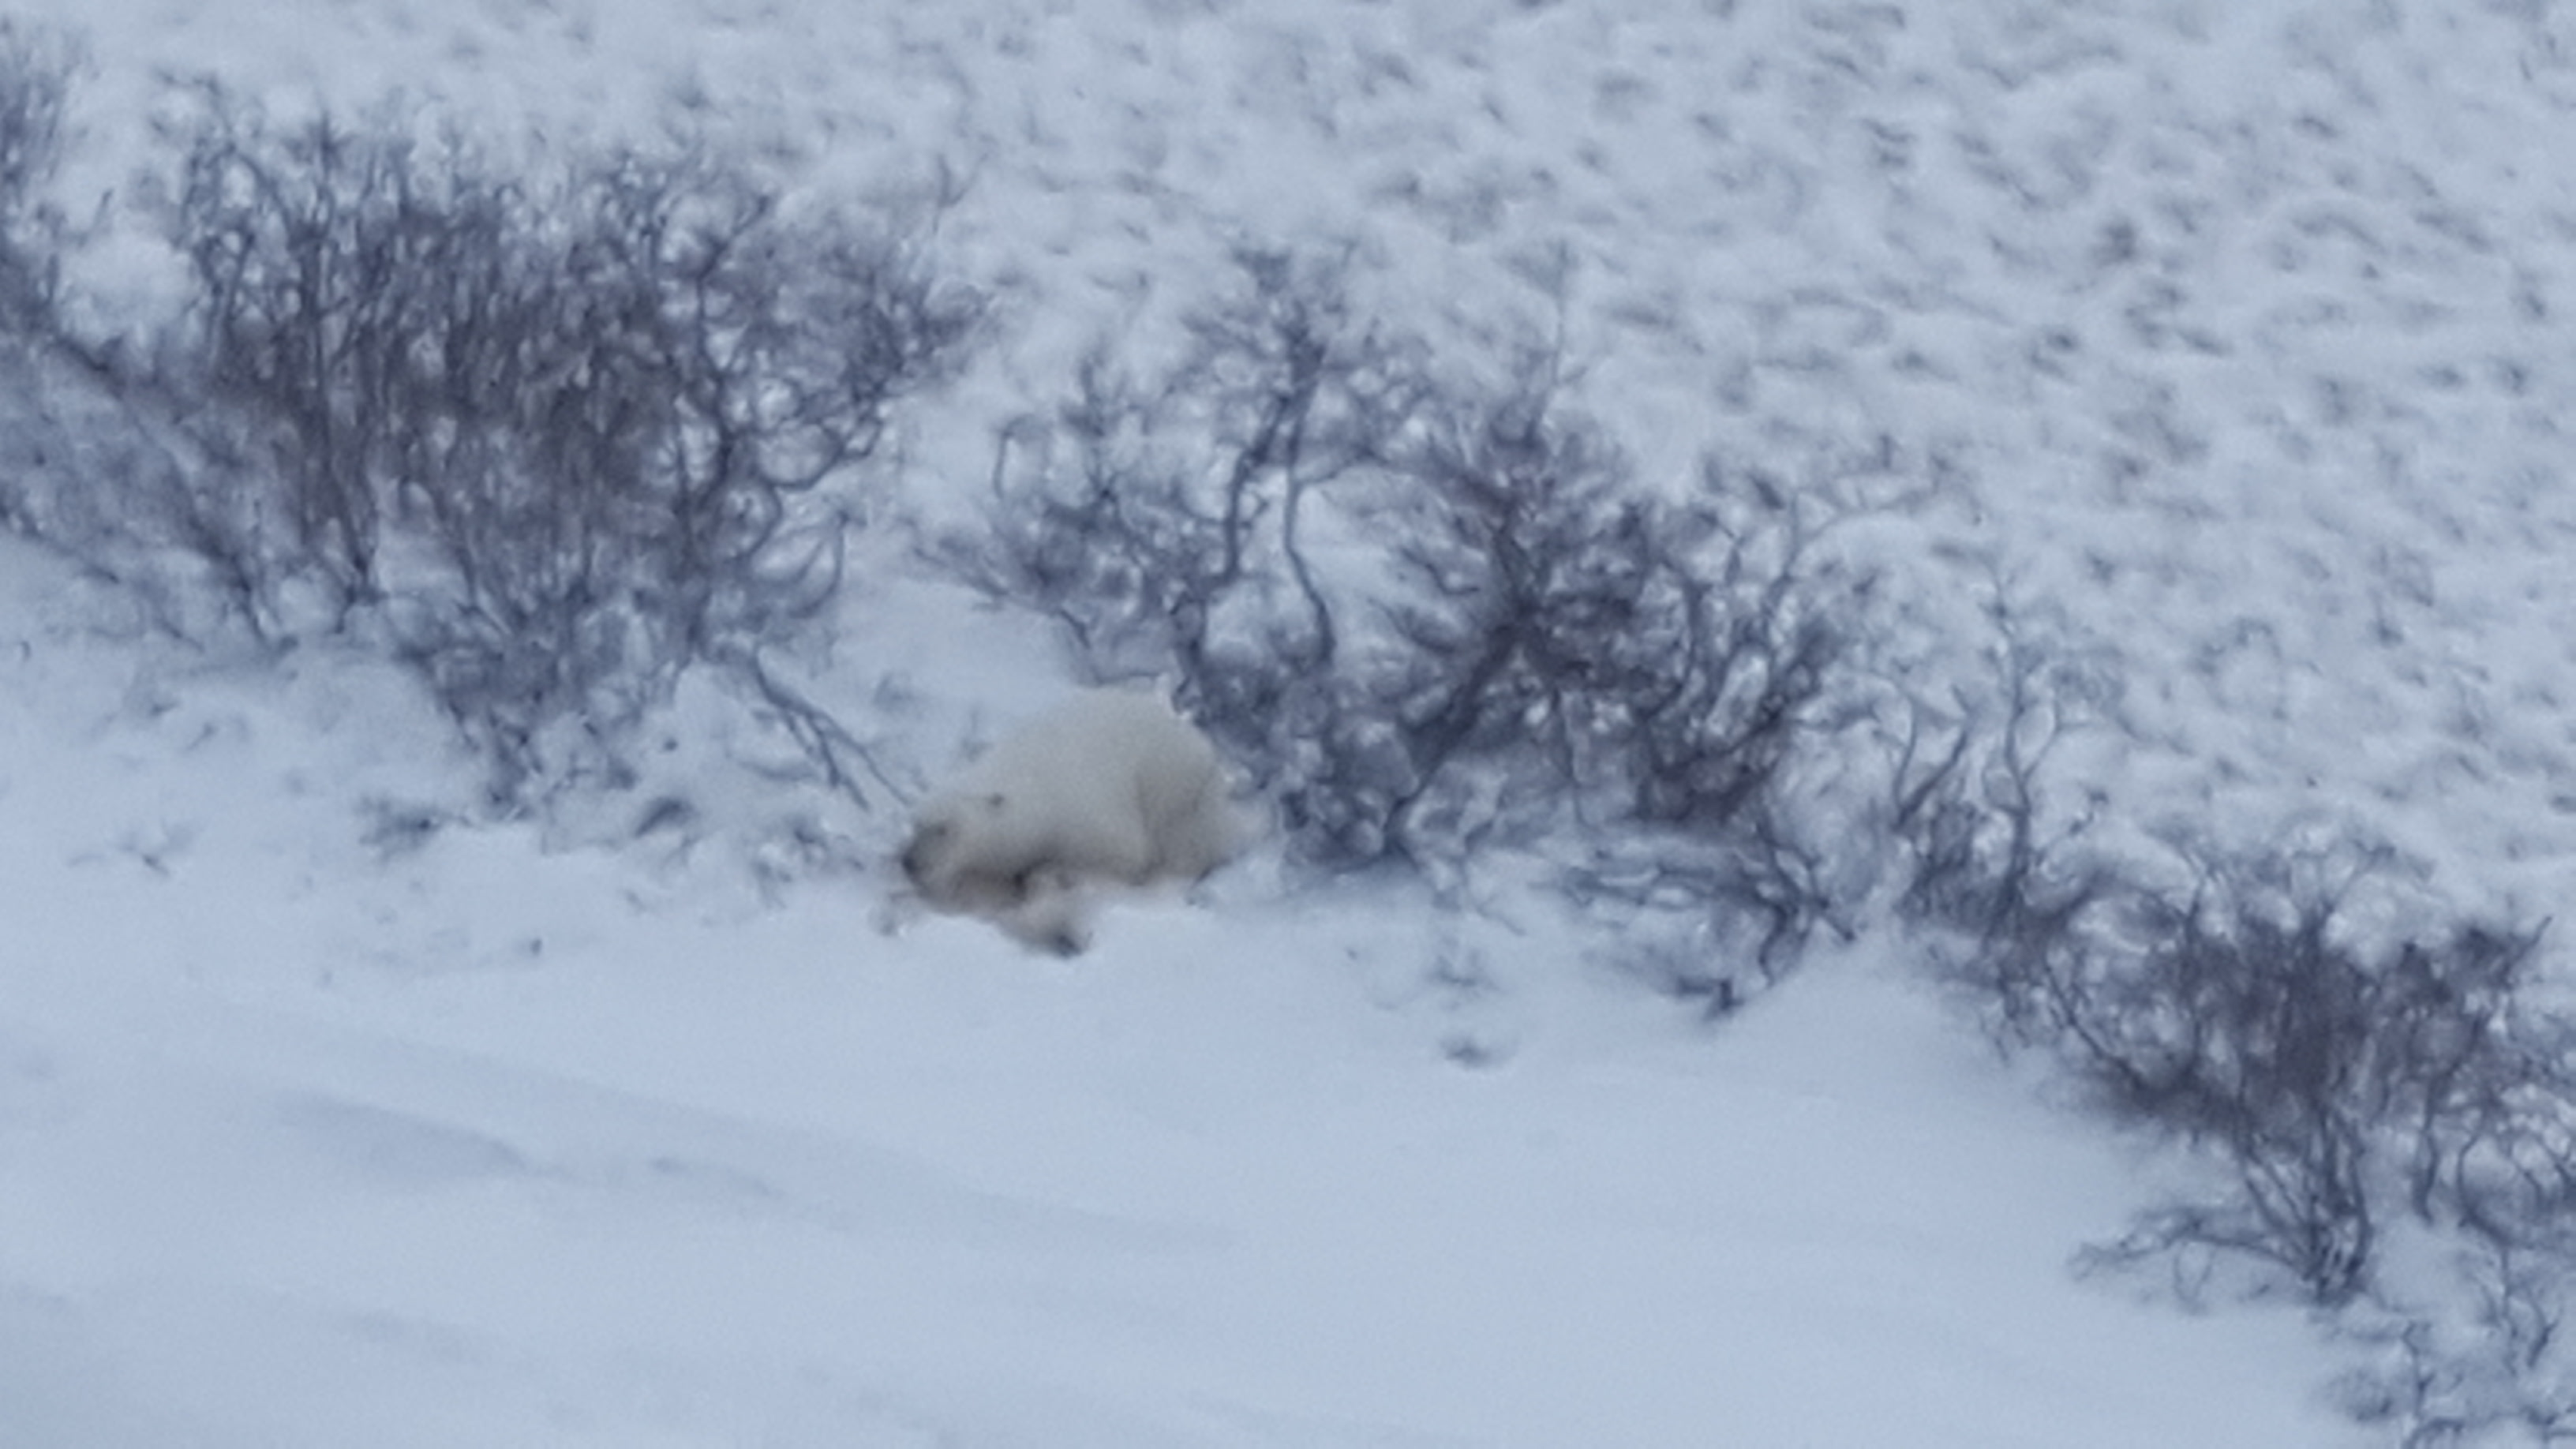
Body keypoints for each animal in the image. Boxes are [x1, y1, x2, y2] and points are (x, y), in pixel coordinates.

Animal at [898, 687, 1249, 954]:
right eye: (916, 824)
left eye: (943, 829)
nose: (908, 862)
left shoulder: (1085, 813)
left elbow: (1119, 857)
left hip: (1177, 787)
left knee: (1182, 846)